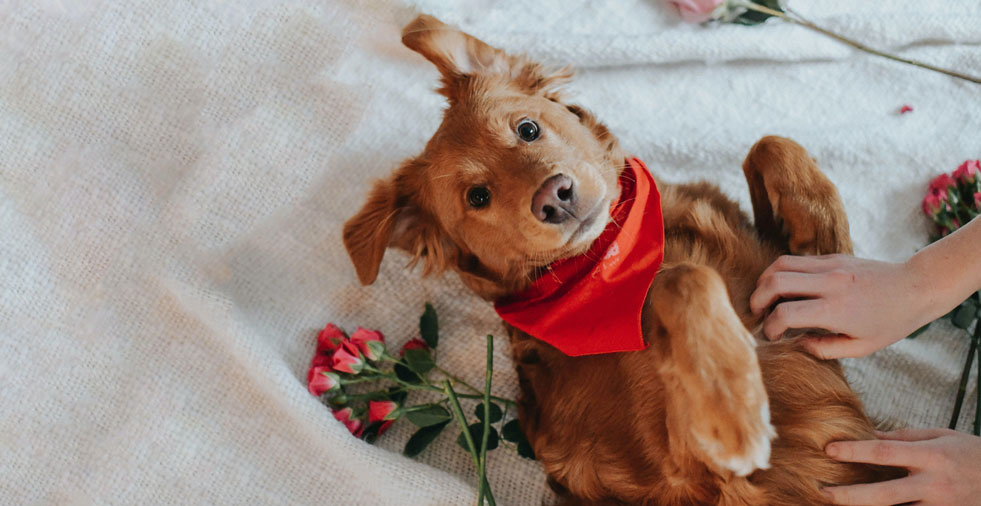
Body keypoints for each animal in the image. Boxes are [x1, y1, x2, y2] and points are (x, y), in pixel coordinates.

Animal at [340, 13, 900, 504]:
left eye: (527, 129)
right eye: (478, 197)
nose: (554, 195)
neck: (613, 255)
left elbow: (770, 144)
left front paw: (825, 237)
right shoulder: (693, 477)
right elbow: (685, 277)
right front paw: (731, 405)